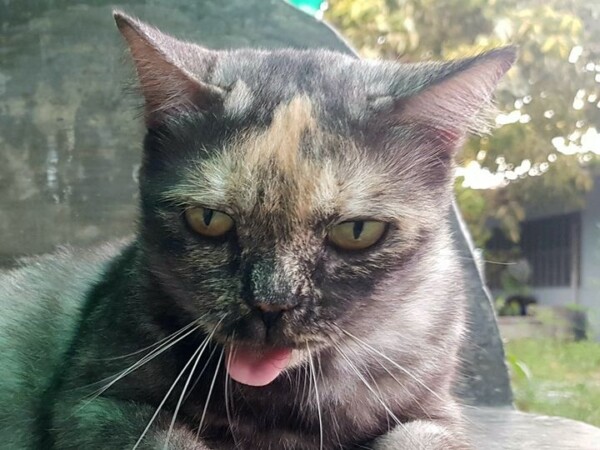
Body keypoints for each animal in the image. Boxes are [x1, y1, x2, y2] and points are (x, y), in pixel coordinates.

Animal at [0, 10, 515, 450]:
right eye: (208, 220)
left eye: (357, 231)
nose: (272, 304)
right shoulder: (94, 401)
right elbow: (168, 439)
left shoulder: (433, 411)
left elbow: (417, 438)